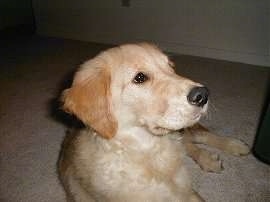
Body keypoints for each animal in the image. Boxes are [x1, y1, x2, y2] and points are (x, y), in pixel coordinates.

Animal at [58, 43, 249, 201]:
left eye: (171, 67)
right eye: (140, 78)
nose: (203, 95)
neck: (150, 152)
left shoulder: (188, 193)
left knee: (197, 137)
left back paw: (232, 147)